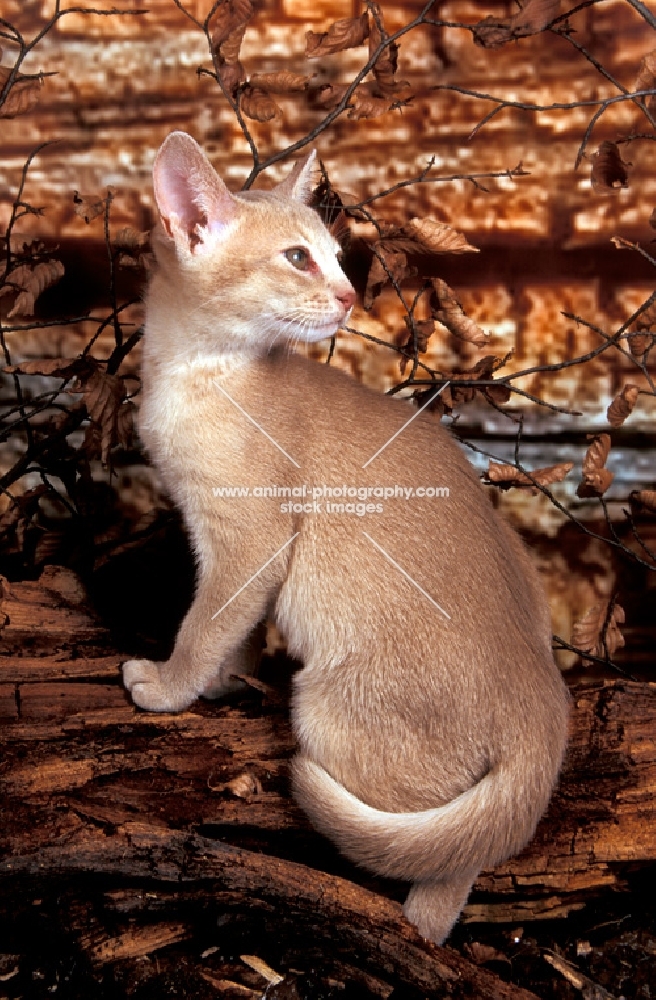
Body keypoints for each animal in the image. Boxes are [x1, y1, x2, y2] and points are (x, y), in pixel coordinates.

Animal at [124, 133, 568, 944]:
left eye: (336, 256)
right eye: (301, 258)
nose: (350, 298)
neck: (194, 370)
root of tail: (546, 700)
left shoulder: (249, 540)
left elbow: (205, 623)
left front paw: (170, 686)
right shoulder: (230, 547)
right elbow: (235, 629)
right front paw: (227, 679)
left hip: (325, 712)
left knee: (453, 845)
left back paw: (421, 924)